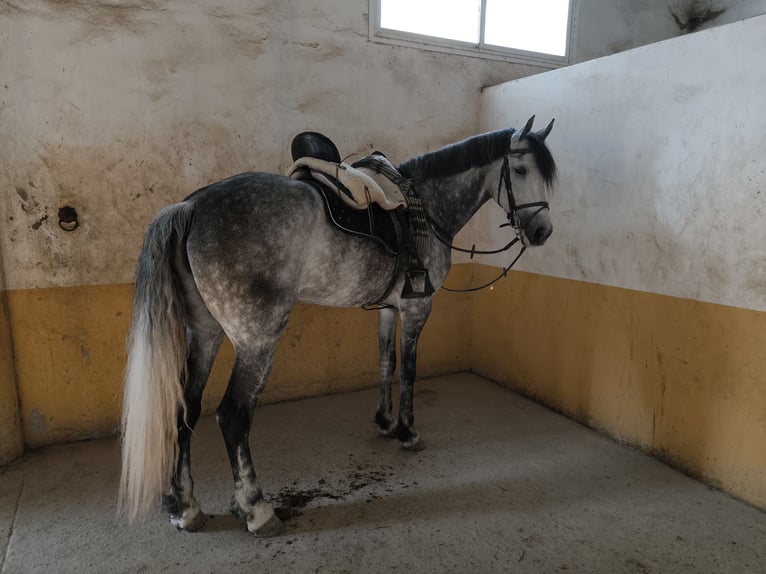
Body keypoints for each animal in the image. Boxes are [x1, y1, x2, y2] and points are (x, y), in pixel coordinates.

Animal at [118, 117, 560, 536]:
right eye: (520, 169)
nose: (542, 232)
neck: (426, 205)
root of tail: (192, 205)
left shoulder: (388, 308)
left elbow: (386, 362)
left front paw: (385, 422)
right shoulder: (417, 307)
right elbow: (410, 369)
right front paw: (408, 431)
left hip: (205, 333)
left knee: (186, 408)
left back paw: (185, 506)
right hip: (256, 339)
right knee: (233, 416)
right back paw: (256, 509)